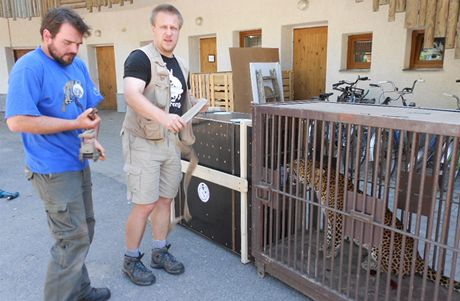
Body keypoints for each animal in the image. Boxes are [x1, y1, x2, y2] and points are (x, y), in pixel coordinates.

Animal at [292, 158, 460, 292]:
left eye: (300, 163)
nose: (288, 164)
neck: (321, 185)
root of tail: (419, 259)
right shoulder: (330, 218)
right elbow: (328, 234)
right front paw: (325, 246)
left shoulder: (339, 219)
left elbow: (336, 238)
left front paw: (331, 252)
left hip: (381, 244)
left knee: (397, 271)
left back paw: (370, 264)